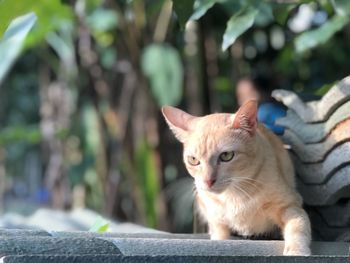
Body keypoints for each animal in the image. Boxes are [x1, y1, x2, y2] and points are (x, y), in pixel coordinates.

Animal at [163, 100, 310, 256]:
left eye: (226, 156)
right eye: (193, 160)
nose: (208, 181)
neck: (234, 195)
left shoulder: (290, 205)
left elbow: (298, 226)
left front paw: (297, 250)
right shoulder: (217, 221)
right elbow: (220, 237)